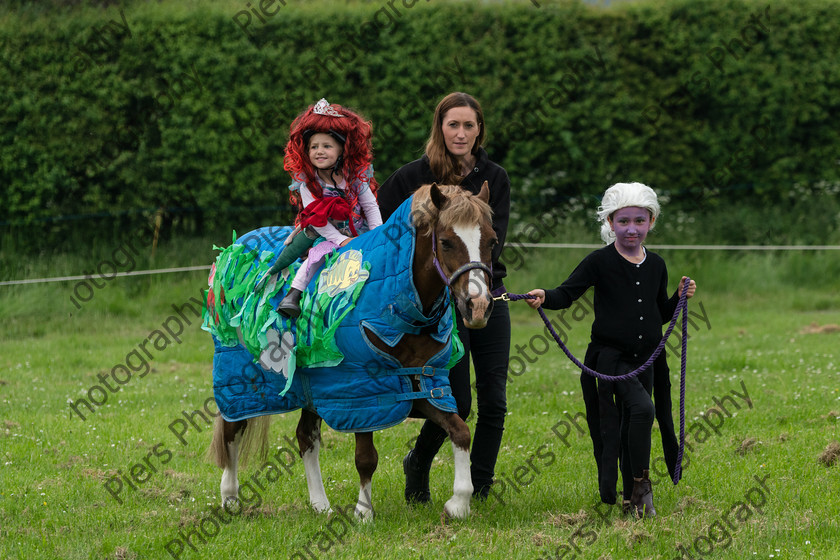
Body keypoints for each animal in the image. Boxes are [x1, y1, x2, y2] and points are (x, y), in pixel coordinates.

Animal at [204, 183, 498, 520]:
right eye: (447, 242)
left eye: (492, 241)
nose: (478, 306)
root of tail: (232, 252)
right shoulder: (363, 395)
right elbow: (366, 457)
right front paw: (363, 512)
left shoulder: (421, 386)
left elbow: (460, 432)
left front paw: (459, 503)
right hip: (241, 381)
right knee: (232, 430)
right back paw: (230, 497)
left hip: (313, 386)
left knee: (305, 438)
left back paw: (320, 504)